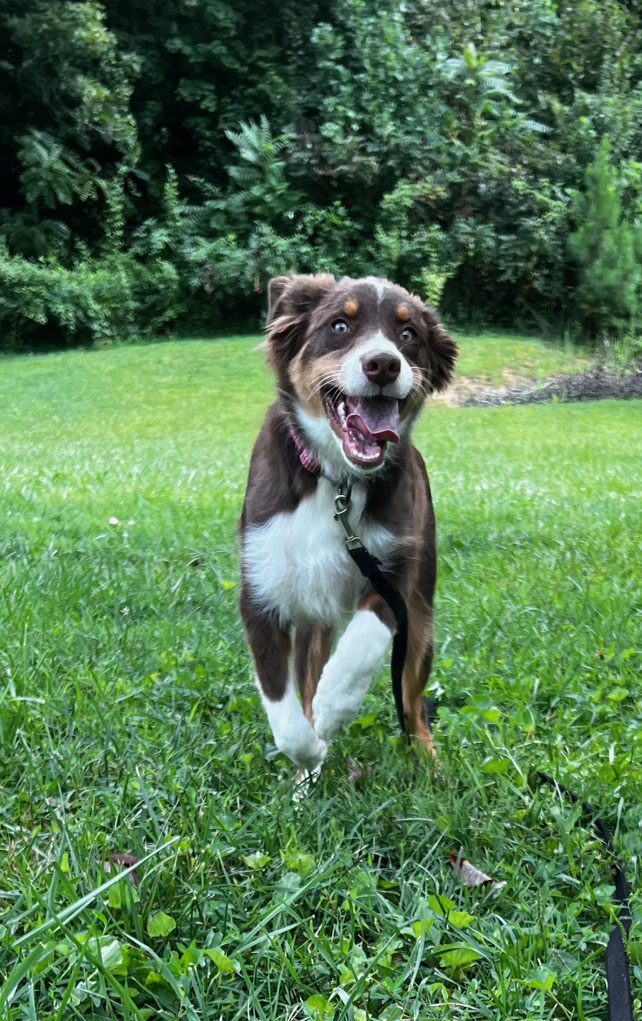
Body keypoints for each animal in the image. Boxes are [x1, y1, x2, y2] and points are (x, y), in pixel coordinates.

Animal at [238, 275, 455, 775]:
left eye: (408, 333)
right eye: (339, 325)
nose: (383, 365)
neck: (335, 479)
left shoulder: (397, 567)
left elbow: (364, 641)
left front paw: (336, 703)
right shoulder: (259, 586)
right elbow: (284, 709)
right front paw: (310, 752)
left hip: (422, 616)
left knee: (412, 702)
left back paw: (429, 762)